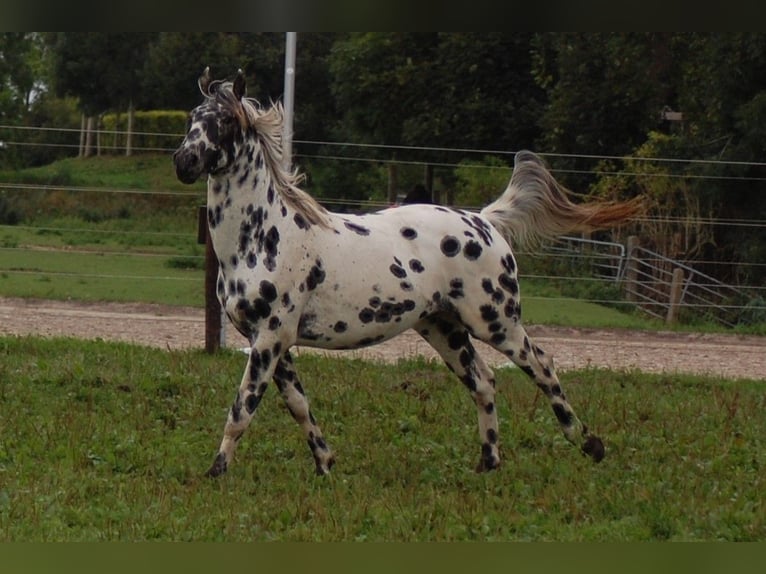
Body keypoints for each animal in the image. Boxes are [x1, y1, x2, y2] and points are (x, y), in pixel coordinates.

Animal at [174, 70, 640, 480]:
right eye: (192, 116)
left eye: (226, 120)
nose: (184, 161)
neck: (266, 236)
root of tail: (484, 220)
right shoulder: (269, 341)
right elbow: (298, 405)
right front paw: (325, 464)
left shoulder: (271, 338)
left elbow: (243, 408)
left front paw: (216, 472)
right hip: (443, 328)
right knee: (484, 382)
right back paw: (488, 464)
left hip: (496, 323)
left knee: (542, 366)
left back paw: (588, 443)